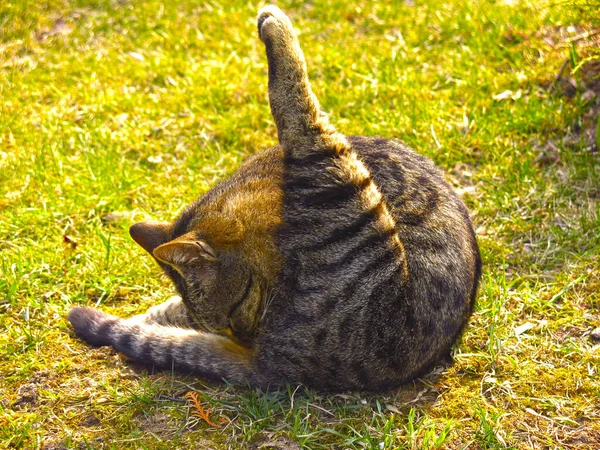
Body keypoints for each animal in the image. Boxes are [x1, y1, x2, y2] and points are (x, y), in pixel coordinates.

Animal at [69, 6, 482, 394]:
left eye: (235, 310)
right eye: (227, 322)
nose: (244, 337)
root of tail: (272, 363)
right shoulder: (324, 156)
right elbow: (293, 96)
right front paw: (275, 25)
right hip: (350, 196)